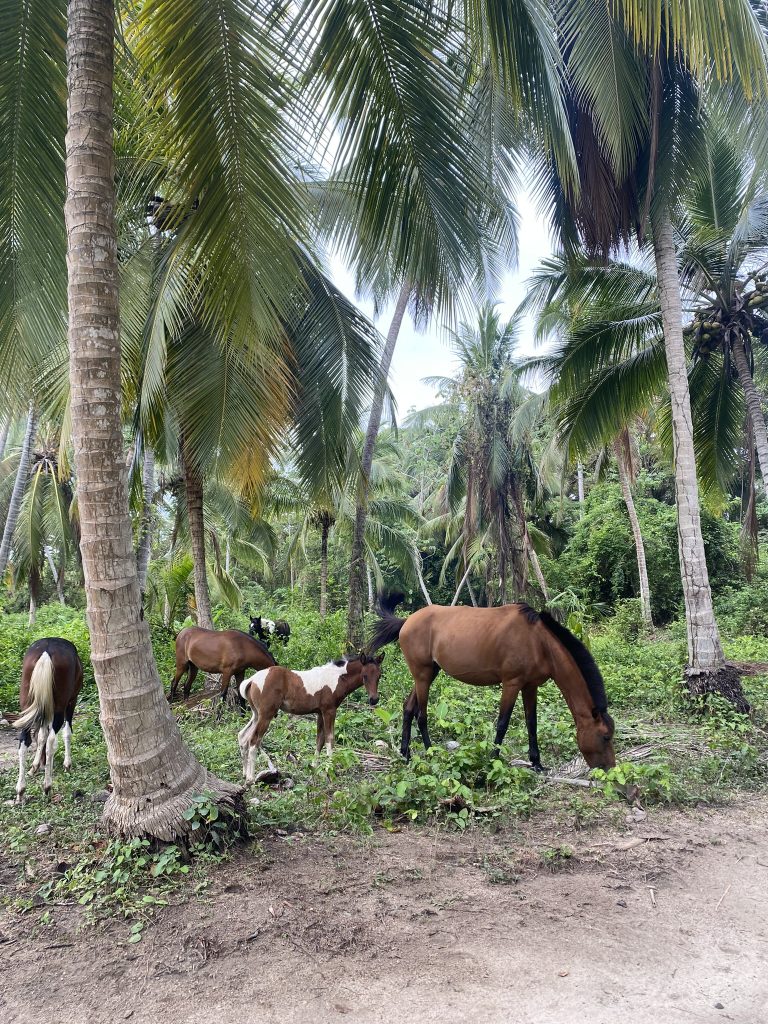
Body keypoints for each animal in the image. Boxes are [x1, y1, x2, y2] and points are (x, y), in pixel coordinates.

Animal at [15, 638, 84, 804]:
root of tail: (46, 651)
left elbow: (40, 736)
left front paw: (34, 766)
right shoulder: (71, 701)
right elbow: (66, 732)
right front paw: (67, 764)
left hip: (27, 703)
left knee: (24, 740)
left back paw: (21, 790)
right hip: (60, 706)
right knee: (52, 740)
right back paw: (47, 786)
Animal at [237, 652, 385, 782]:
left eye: (379, 676)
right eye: (365, 676)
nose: (374, 700)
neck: (336, 678)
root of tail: (252, 680)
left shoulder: (320, 713)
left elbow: (319, 740)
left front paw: (314, 768)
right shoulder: (329, 711)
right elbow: (330, 739)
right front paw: (330, 771)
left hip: (256, 715)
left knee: (243, 736)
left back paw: (244, 774)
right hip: (266, 715)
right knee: (254, 740)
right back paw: (250, 778)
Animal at [369, 602, 615, 770]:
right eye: (605, 737)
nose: (609, 769)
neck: (539, 642)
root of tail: (406, 621)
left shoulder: (530, 686)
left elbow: (532, 723)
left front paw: (537, 763)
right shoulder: (511, 683)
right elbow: (503, 723)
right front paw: (493, 759)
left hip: (427, 674)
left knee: (408, 708)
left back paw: (405, 754)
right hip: (423, 676)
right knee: (421, 715)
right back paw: (430, 752)